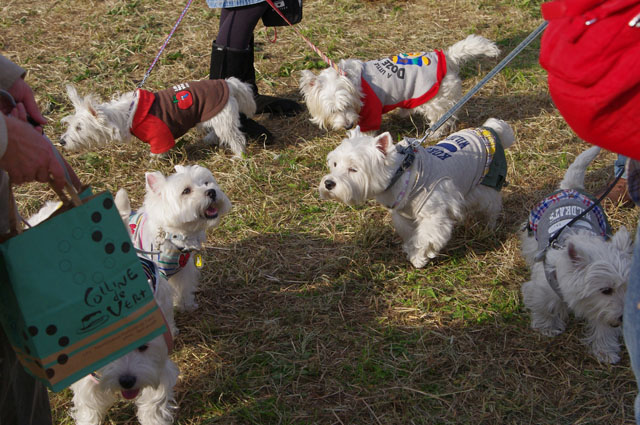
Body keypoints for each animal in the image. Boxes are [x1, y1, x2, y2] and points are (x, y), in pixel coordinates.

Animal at [59, 77, 255, 157]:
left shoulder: (160, 136)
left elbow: (158, 151)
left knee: (236, 138)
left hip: (224, 120)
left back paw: (239, 156)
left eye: (79, 127)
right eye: (70, 125)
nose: (61, 141)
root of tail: (228, 84)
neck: (127, 114)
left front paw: (154, 160)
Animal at [115, 164, 232, 310]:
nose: (211, 192)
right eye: (186, 191)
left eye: (206, 183)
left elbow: (184, 289)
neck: (172, 235)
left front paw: (187, 305)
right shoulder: (159, 277)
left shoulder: (183, 271)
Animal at [300, 35, 500, 137]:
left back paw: (434, 133)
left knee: (442, 117)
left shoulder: (371, 113)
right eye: (333, 111)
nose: (348, 125)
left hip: (435, 99)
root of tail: (448, 58)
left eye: (347, 105)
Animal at [318, 117, 516, 266]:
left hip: (486, 186)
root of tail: (491, 130)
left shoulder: (434, 217)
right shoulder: (404, 216)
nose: (328, 183)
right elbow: (412, 234)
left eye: (354, 169)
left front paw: (418, 258)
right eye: (335, 164)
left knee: (492, 206)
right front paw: (410, 249)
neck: (403, 176)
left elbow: (426, 238)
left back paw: (488, 226)